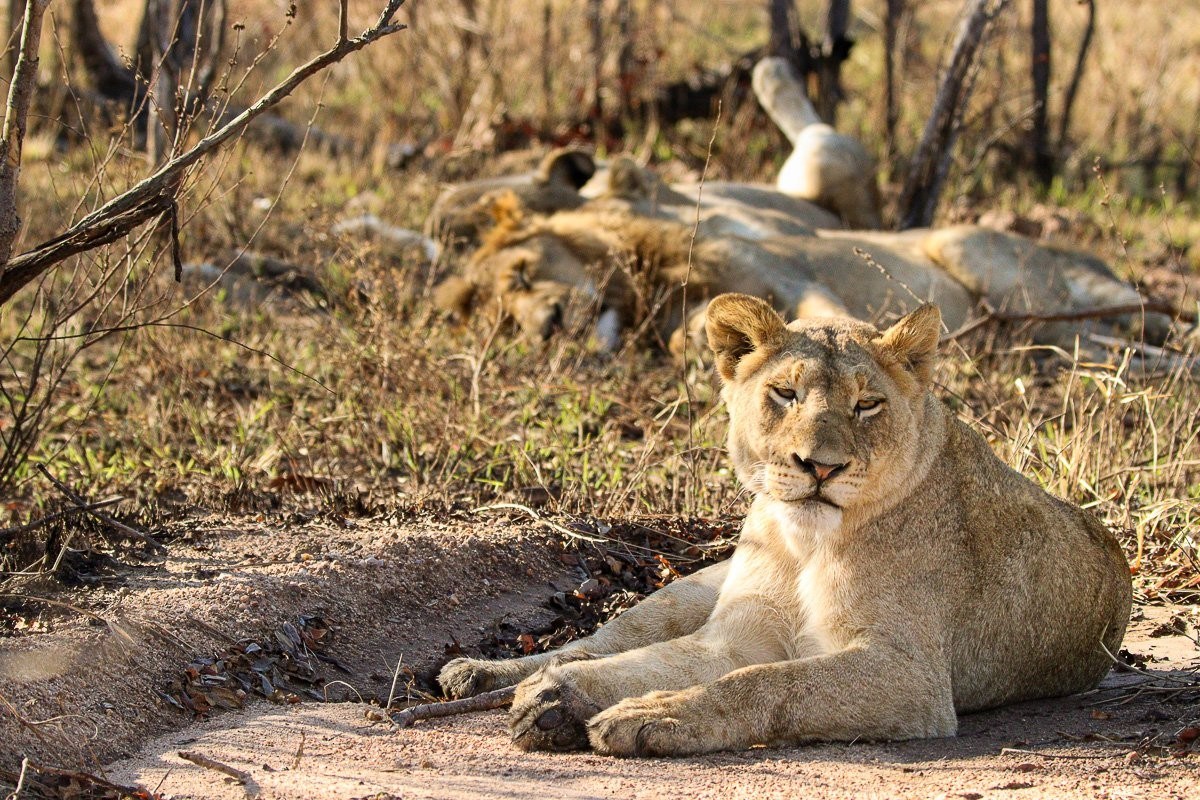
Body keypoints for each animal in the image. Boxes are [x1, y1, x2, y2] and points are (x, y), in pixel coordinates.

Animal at [438, 295, 1133, 756]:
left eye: (867, 404)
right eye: (786, 394)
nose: (819, 466)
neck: (806, 544)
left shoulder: (911, 675)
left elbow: (765, 682)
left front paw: (657, 715)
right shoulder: (732, 636)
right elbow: (666, 663)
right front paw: (575, 696)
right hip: (686, 588)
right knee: (601, 641)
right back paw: (503, 679)